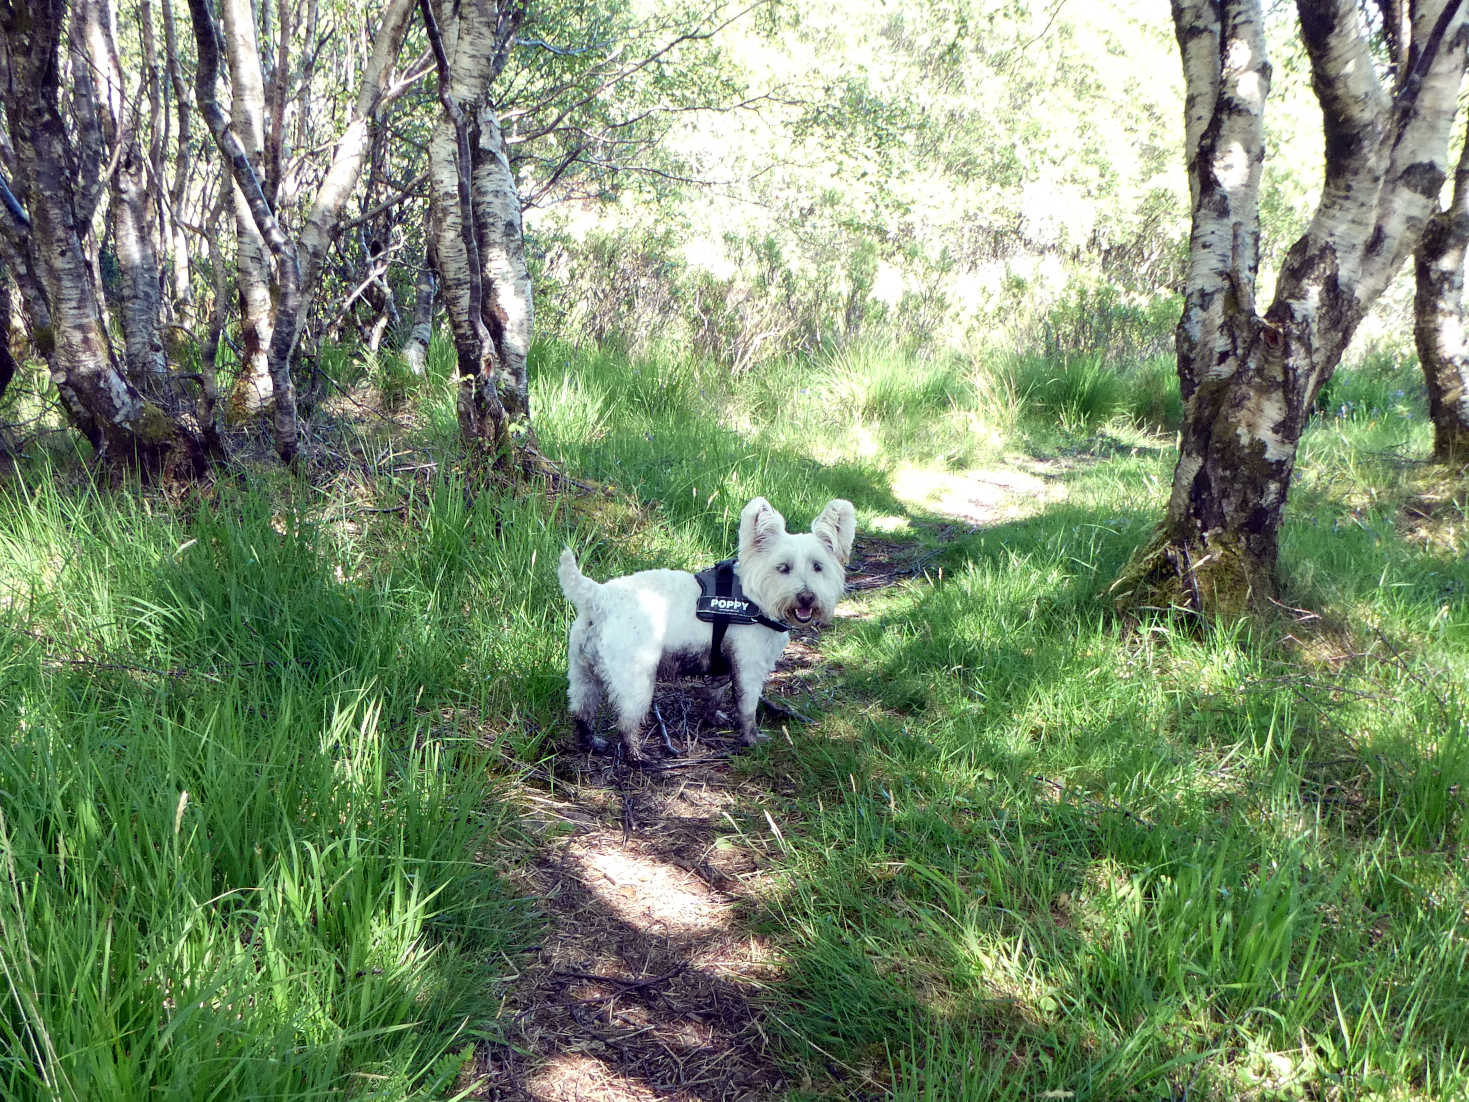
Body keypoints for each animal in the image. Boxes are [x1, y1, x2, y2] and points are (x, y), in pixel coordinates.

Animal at [555, 499, 857, 764]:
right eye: (783, 568)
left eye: (818, 566)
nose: (806, 597)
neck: (755, 597)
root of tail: (599, 597)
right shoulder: (749, 667)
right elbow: (747, 708)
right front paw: (751, 739)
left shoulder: (724, 664)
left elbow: (715, 694)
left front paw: (713, 718)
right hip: (635, 679)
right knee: (626, 723)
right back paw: (638, 757)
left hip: (582, 675)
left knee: (581, 713)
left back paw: (592, 743)